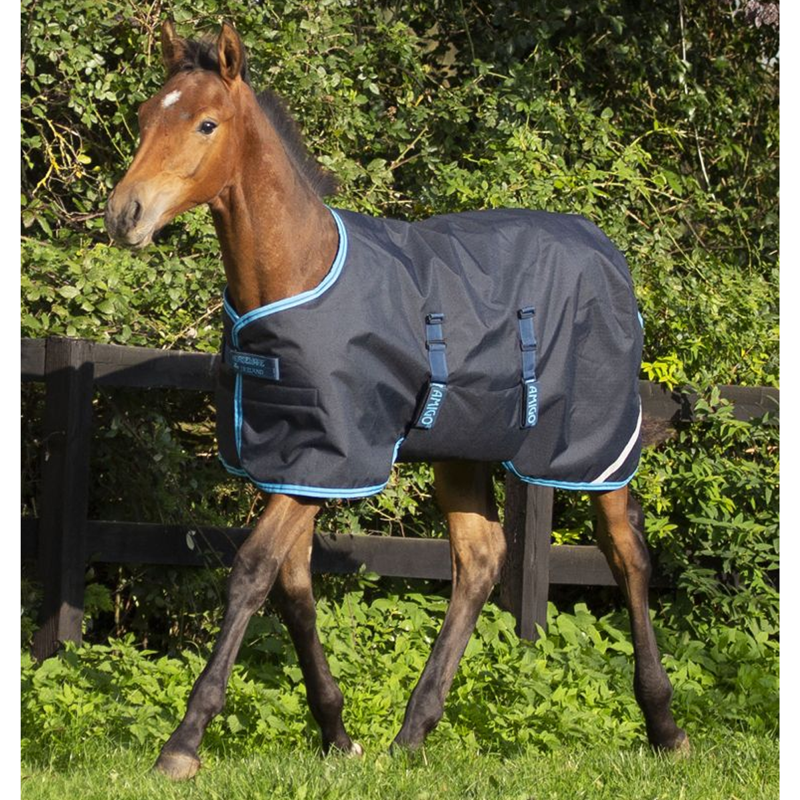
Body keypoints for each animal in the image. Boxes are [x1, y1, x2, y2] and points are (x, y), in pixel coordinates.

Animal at [105, 21, 689, 779]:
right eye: (147, 116)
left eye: (206, 123)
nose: (125, 214)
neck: (300, 272)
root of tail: (607, 253)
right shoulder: (295, 459)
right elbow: (293, 584)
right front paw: (337, 733)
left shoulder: (333, 456)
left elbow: (253, 571)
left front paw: (183, 744)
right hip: (462, 450)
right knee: (480, 559)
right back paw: (414, 731)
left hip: (595, 447)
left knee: (626, 555)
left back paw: (665, 726)